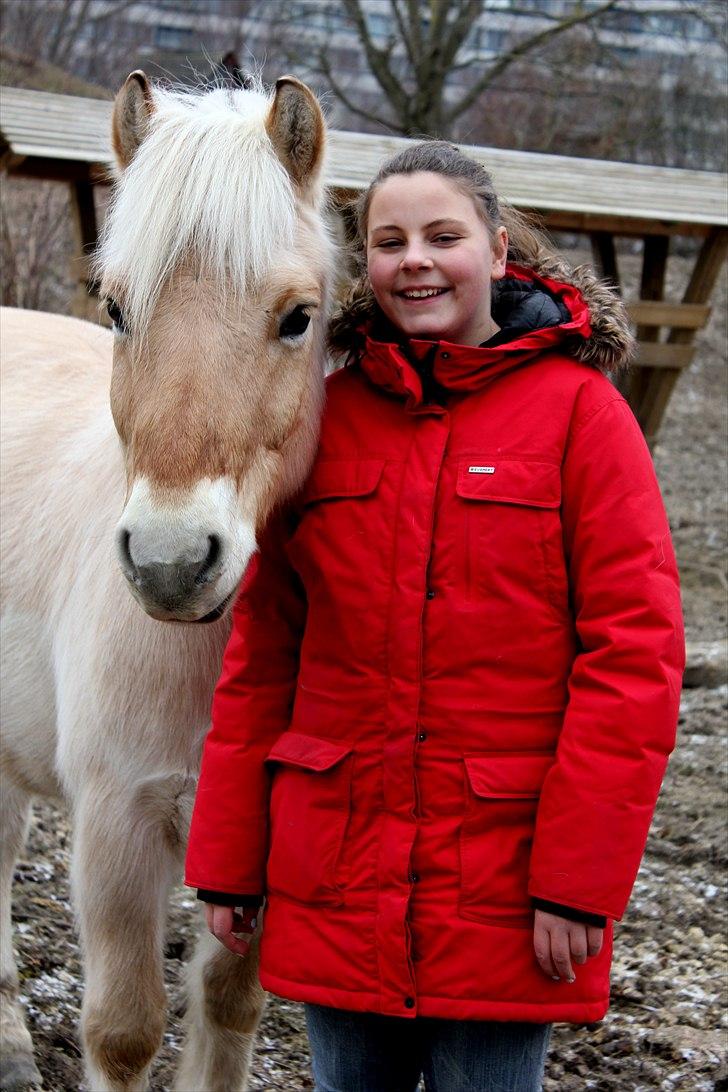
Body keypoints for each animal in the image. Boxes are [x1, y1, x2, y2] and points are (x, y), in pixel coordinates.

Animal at [0, 70, 336, 1092]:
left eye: (297, 317)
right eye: (114, 308)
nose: (171, 564)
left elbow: (227, 1007)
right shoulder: (118, 825)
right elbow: (124, 1031)